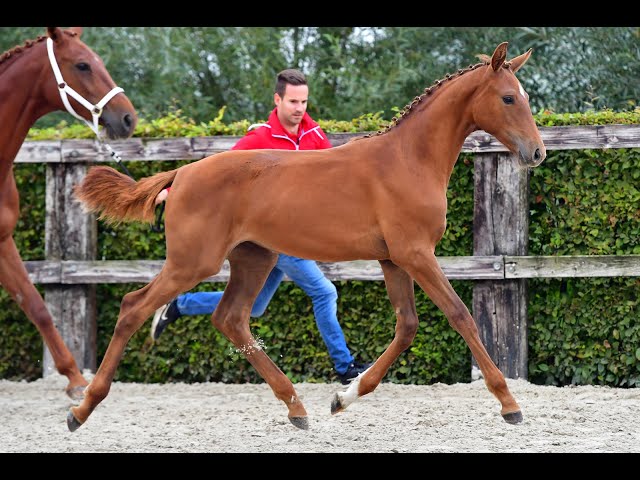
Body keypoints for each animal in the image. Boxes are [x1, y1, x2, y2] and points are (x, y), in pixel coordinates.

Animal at [74, 42, 544, 432]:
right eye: (508, 97)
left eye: (525, 97)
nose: (537, 152)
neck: (408, 159)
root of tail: (181, 174)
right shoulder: (416, 254)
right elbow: (460, 315)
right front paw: (509, 404)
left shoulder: (393, 258)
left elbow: (407, 326)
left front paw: (343, 397)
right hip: (194, 262)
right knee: (134, 307)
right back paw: (81, 408)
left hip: (254, 259)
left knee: (230, 318)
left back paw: (296, 407)